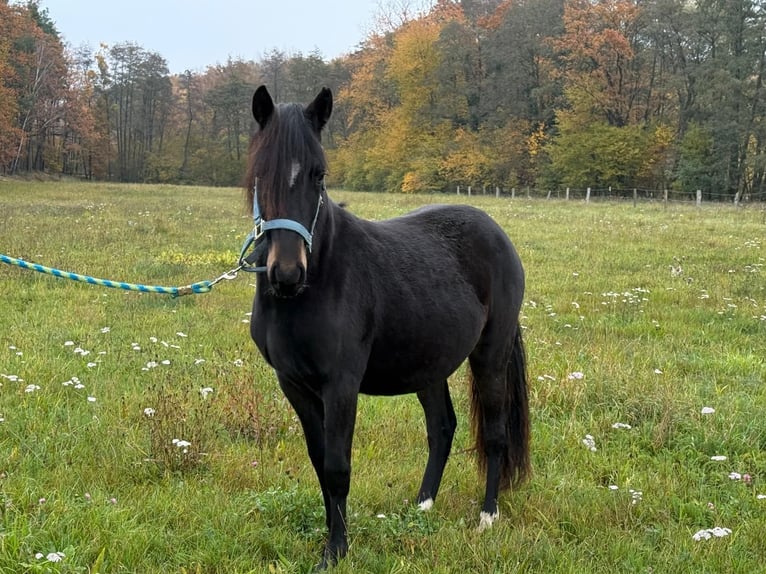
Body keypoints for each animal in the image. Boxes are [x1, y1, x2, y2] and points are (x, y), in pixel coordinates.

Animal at [243, 85, 530, 569]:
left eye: (319, 174)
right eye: (261, 172)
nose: (287, 274)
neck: (319, 280)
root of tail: (496, 232)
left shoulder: (340, 385)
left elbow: (338, 466)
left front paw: (336, 550)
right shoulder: (294, 384)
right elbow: (320, 461)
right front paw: (331, 536)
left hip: (490, 355)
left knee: (494, 434)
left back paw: (487, 516)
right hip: (429, 364)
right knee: (442, 428)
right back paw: (422, 505)